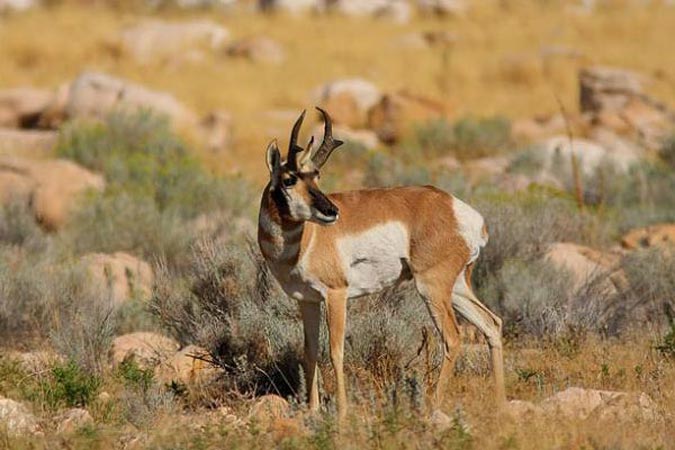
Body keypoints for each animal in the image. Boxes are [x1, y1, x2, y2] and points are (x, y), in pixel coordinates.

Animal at [258, 107, 508, 416]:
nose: (332, 211)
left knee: (453, 337)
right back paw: (501, 404)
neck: (305, 240)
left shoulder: (336, 295)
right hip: (457, 288)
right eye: (290, 178)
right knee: (492, 323)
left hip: (431, 288)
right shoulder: (307, 300)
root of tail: (458, 209)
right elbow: (310, 351)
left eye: (316, 176)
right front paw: (312, 410)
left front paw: (342, 413)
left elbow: (336, 351)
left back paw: (432, 407)